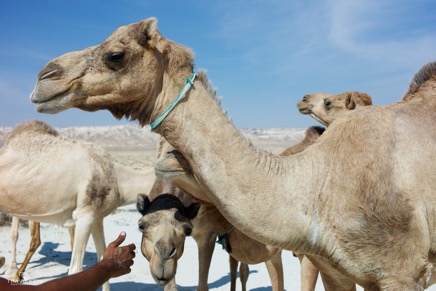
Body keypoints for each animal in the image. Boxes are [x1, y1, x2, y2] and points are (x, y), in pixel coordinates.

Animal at [138, 139, 284, 291]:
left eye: (187, 229)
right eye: (141, 225)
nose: (164, 260)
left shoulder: (207, 234)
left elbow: (203, 284)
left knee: (243, 268)